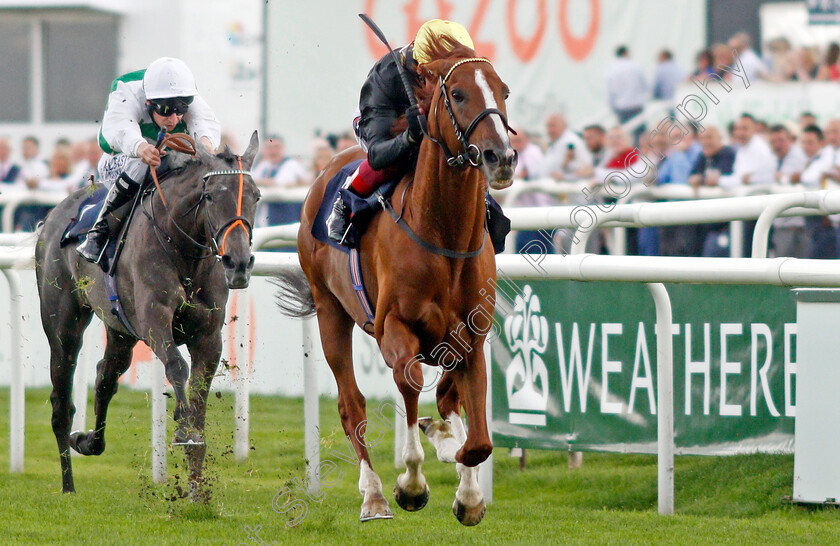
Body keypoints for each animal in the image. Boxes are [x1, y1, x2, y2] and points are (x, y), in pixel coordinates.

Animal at [276, 47, 516, 524]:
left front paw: (468, 491)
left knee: (443, 401)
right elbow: (409, 386)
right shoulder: (395, 330)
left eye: (504, 91)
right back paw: (373, 495)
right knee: (351, 405)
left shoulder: (470, 338)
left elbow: (476, 437)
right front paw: (411, 483)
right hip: (330, 311)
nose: (501, 157)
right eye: (458, 93)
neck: (444, 238)